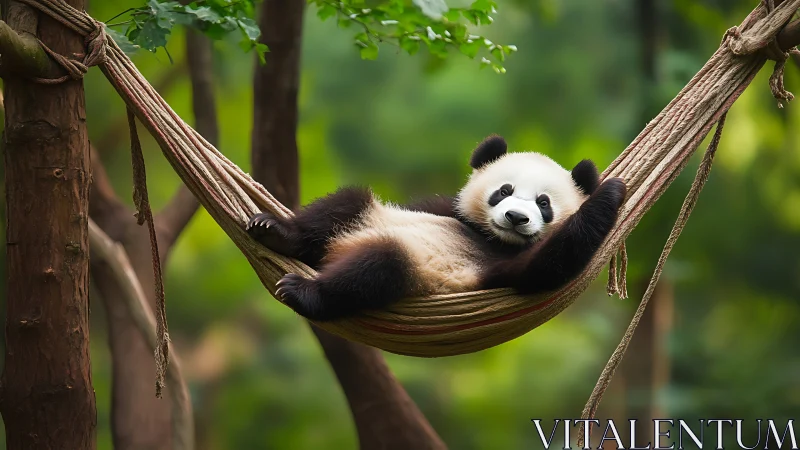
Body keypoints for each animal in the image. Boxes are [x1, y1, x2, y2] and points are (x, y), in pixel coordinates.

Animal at [246, 135, 627, 321]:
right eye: (504, 191)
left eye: (544, 203)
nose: (516, 218)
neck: (491, 238)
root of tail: (339, 252)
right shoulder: (445, 209)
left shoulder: (500, 269)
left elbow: (546, 265)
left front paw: (610, 192)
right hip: (369, 215)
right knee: (346, 204)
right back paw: (275, 232)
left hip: (413, 271)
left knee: (376, 269)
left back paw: (303, 290)